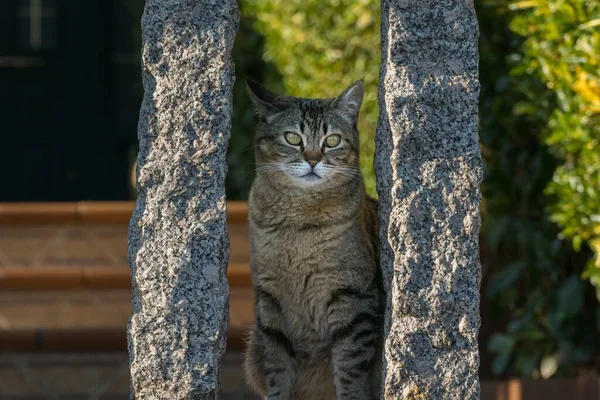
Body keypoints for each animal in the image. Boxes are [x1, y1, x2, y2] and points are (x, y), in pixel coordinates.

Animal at [241, 79, 382, 400]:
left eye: (332, 140)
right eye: (293, 137)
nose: (313, 160)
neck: (298, 222)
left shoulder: (353, 297)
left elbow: (349, 368)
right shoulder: (269, 303)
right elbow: (278, 369)